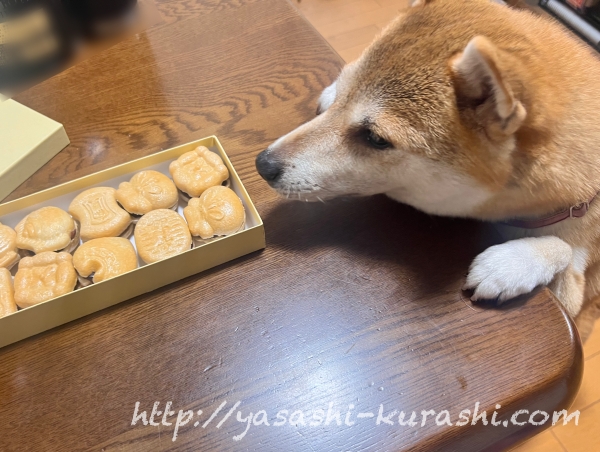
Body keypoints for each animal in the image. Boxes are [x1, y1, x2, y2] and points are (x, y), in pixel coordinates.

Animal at [255, 0, 600, 340]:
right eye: (343, 92)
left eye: (375, 138)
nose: (263, 164)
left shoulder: (576, 295)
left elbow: (564, 248)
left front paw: (509, 265)